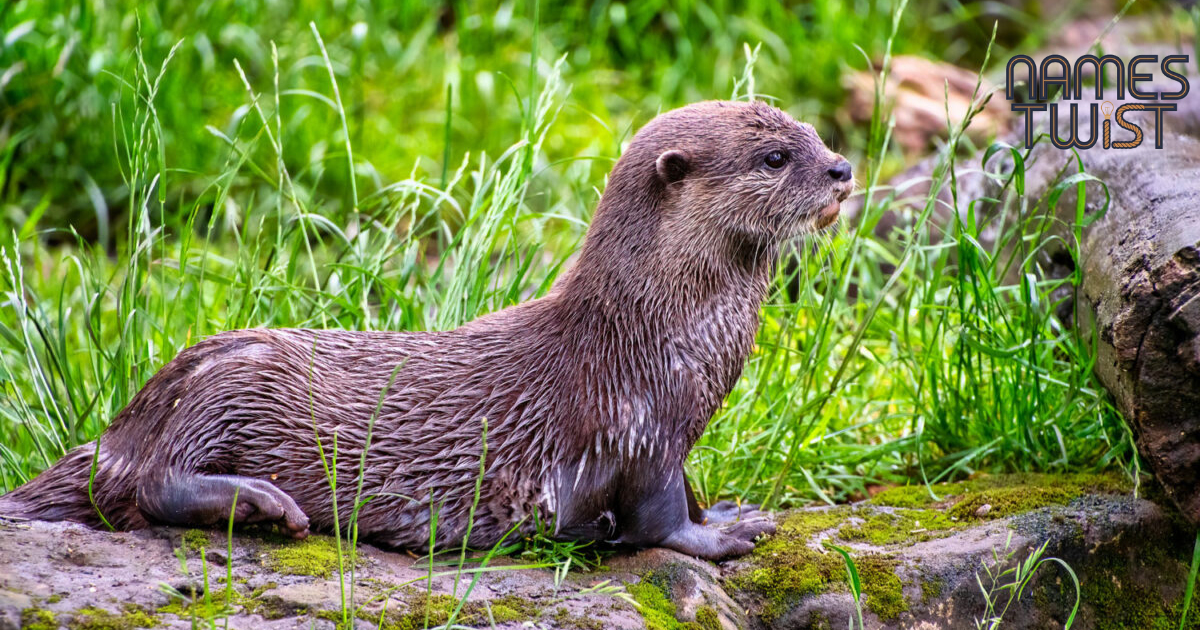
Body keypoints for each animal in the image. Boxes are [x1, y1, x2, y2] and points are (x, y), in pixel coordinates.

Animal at [4, 99, 859, 559]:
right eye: (775, 156)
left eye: (814, 133)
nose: (844, 170)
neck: (660, 326)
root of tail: (133, 415)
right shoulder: (640, 423)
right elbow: (658, 518)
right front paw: (715, 540)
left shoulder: (674, 427)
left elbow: (692, 490)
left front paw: (728, 514)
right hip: (233, 387)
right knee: (148, 485)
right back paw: (266, 505)